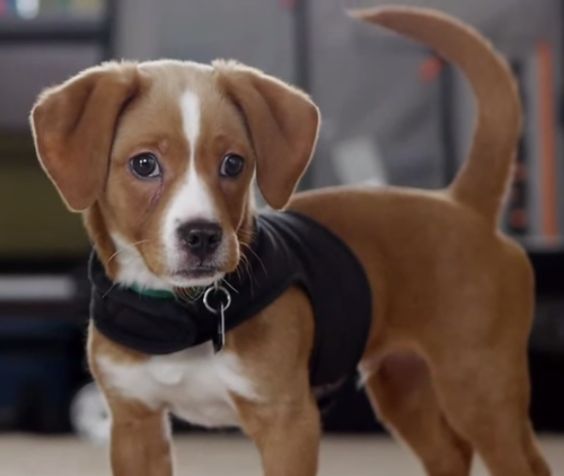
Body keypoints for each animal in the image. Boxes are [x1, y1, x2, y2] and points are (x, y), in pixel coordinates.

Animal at [29, 4, 552, 476]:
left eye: (234, 163)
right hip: (404, 385)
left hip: (480, 385)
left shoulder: (288, 421)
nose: (202, 235)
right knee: (450, 456)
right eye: (143, 164)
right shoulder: (135, 425)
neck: (180, 312)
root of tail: (463, 203)